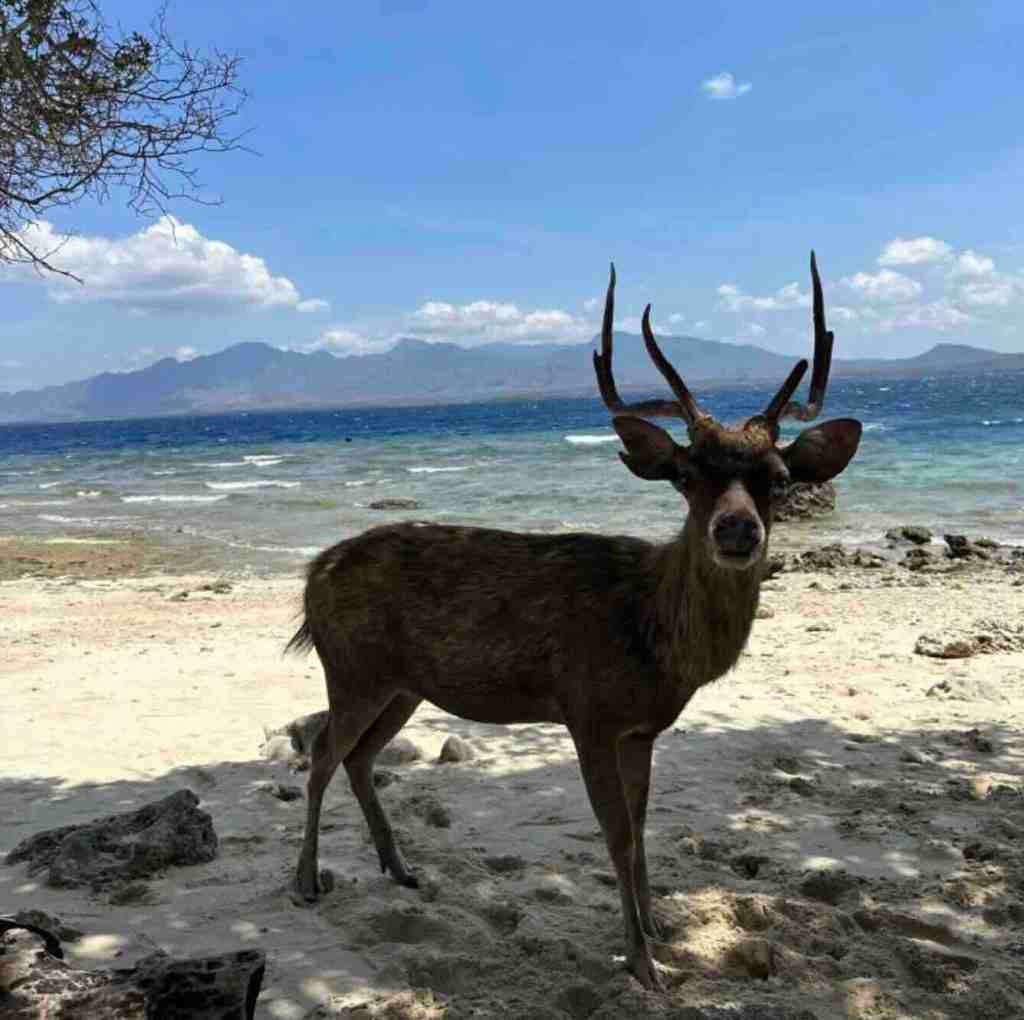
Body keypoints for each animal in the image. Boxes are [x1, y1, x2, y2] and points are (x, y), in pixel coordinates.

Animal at [286, 252, 862, 989]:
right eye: (685, 474)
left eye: (779, 475)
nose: (736, 528)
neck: (651, 636)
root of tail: (312, 576)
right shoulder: (586, 709)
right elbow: (615, 835)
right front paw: (641, 963)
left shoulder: (641, 729)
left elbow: (642, 829)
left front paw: (658, 928)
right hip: (353, 666)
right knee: (323, 752)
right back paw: (306, 882)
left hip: (403, 684)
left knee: (360, 757)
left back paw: (401, 867)